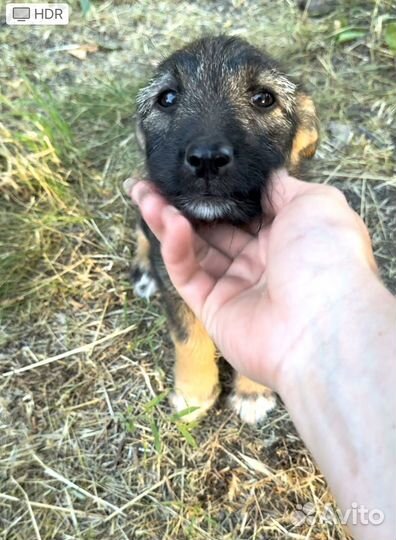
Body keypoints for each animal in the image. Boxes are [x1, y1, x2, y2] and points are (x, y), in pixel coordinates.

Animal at [132, 35, 318, 424]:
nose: (206, 159)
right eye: (167, 98)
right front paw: (193, 394)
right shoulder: (173, 279)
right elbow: (188, 337)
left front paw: (251, 392)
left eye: (263, 98)